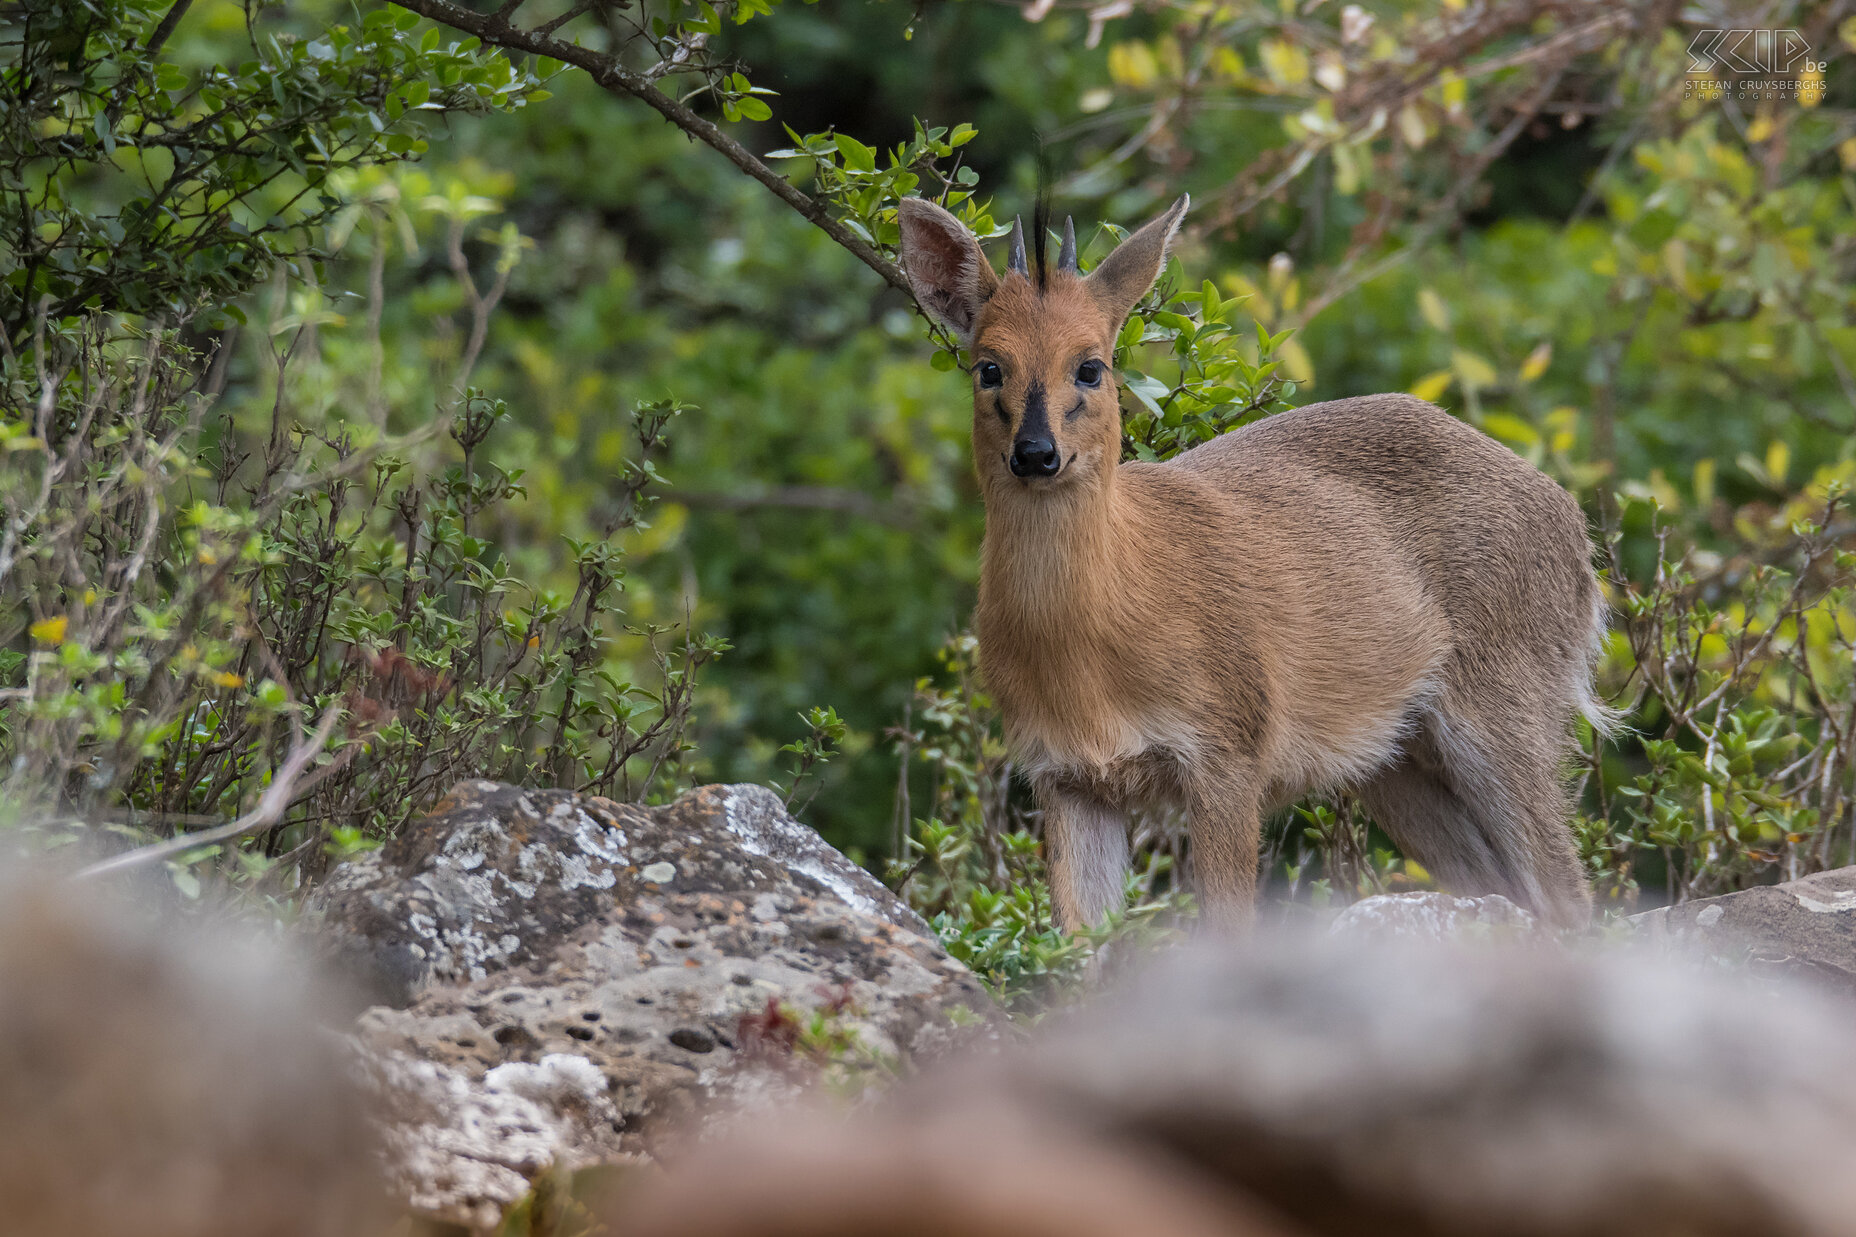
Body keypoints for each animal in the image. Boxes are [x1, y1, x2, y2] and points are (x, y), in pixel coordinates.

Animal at [898, 195, 1611, 924]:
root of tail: (1577, 533)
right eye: (988, 366)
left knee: (1570, 890)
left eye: (1091, 365)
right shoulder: (1063, 773)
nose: (1036, 453)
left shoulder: (1229, 744)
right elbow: (1081, 940)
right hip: (1395, 757)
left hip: (1507, 692)